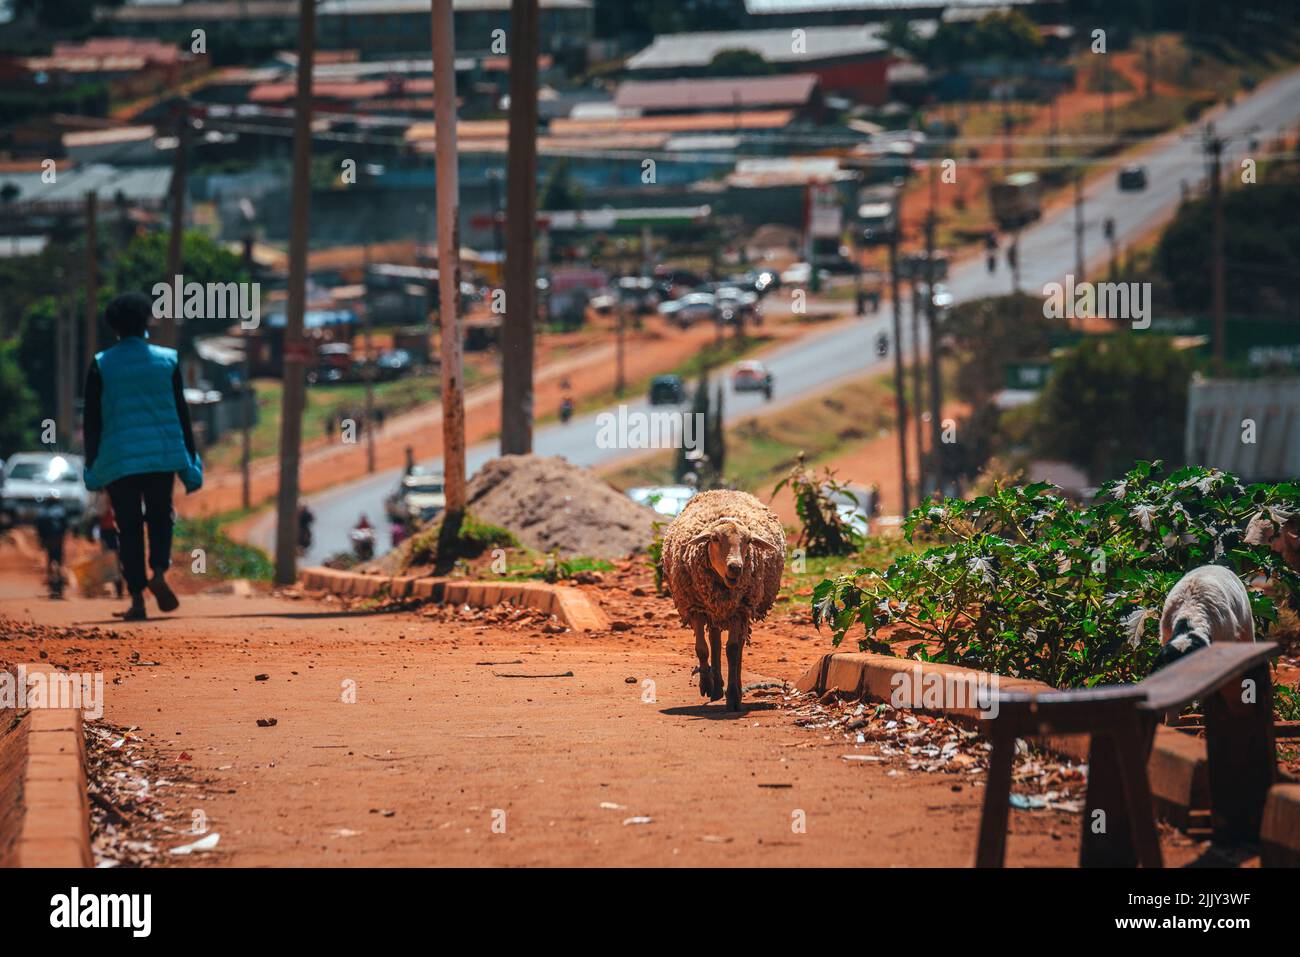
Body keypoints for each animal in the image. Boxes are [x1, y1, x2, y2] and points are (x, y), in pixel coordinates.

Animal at [660, 488, 780, 707]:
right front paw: (706, 684)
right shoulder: (696, 608)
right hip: (712, 609)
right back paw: (715, 687)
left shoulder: (739, 609)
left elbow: (732, 650)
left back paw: (734, 688)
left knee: (737, 646)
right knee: (714, 640)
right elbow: (702, 649)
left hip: (736, 610)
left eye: (748, 541)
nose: (736, 567)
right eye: (715, 539)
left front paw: (732, 696)